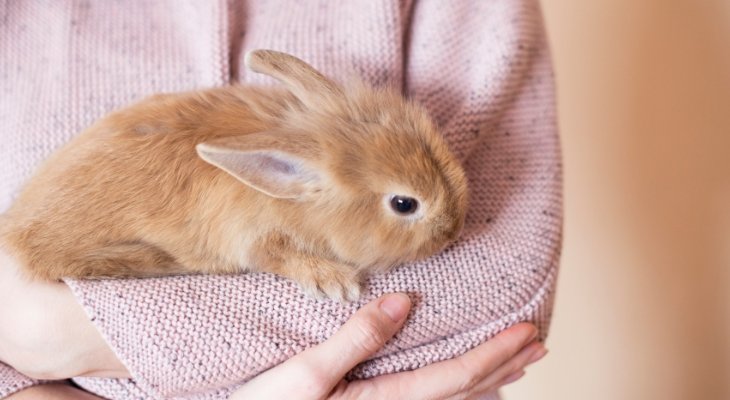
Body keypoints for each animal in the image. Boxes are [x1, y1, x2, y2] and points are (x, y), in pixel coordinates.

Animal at [0, 49, 466, 300]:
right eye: (404, 204)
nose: (454, 229)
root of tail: (15, 230)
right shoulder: (256, 238)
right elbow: (278, 257)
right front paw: (336, 284)